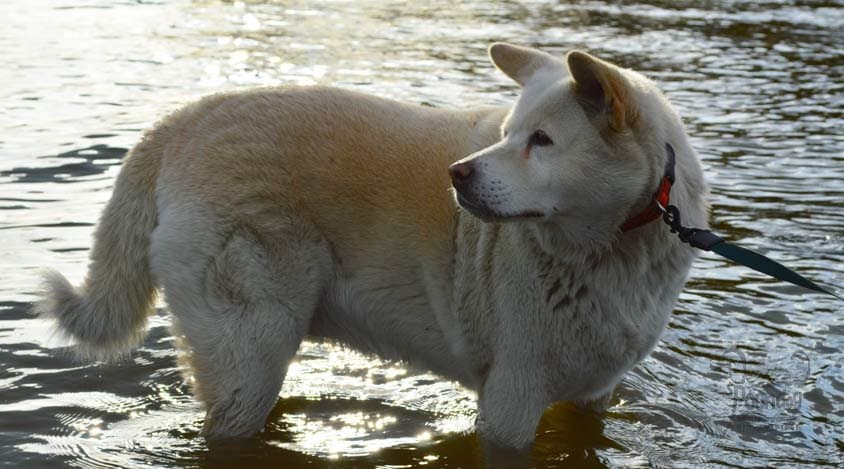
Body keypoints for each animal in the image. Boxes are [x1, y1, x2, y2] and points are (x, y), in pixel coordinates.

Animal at [36, 44, 708, 454]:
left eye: (540, 141)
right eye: (508, 134)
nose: (456, 174)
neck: (610, 249)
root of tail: (179, 122)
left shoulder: (594, 396)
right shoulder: (511, 404)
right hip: (249, 349)